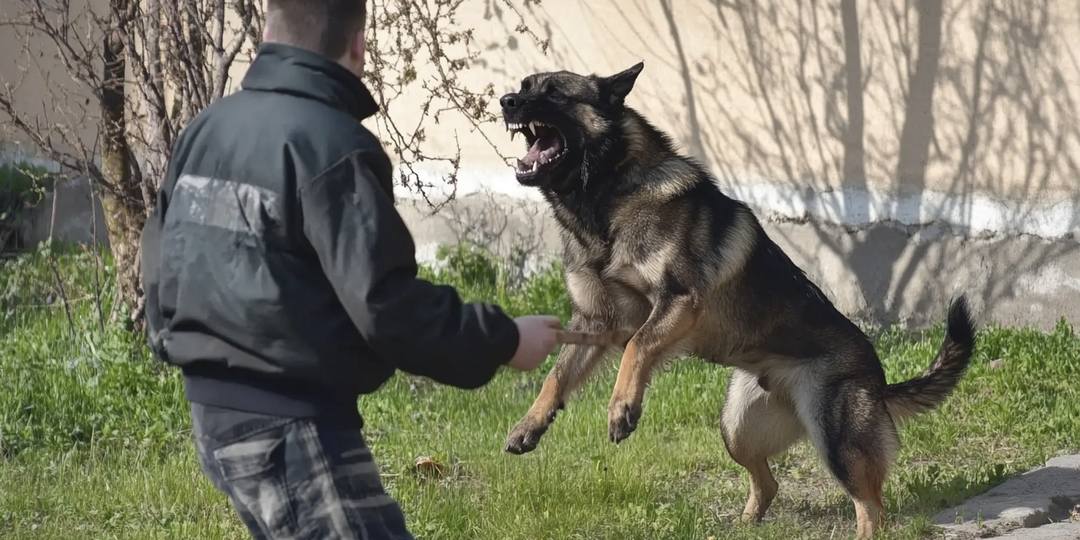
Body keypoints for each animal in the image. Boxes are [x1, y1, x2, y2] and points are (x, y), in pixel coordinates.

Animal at [496, 61, 980, 537]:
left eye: (555, 93)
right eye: (524, 85)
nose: (506, 101)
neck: (607, 199)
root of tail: (879, 379)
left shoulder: (676, 303)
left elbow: (636, 347)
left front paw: (622, 409)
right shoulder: (596, 323)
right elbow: (556, 375)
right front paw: (530, 423)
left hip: (836, 441)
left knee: (870, 505)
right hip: (736, 429)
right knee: (769, 483)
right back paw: (744, 524)